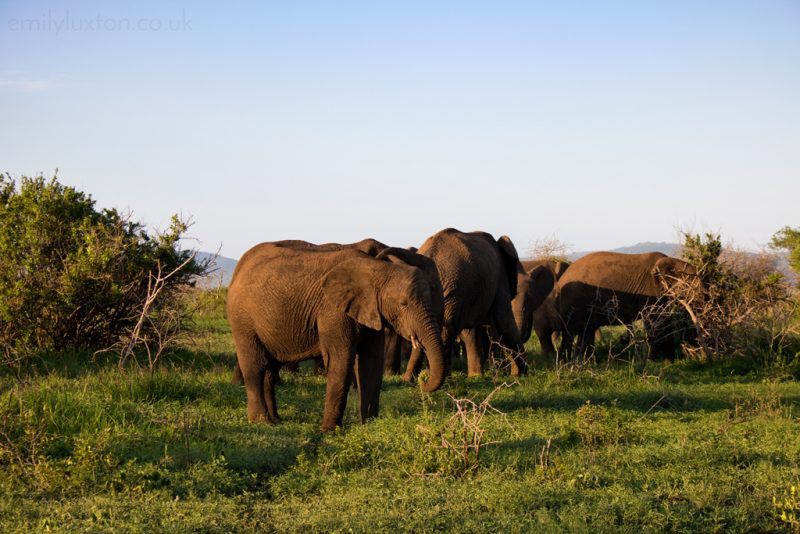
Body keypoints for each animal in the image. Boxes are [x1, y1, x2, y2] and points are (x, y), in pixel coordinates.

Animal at [228, 245, 446, 434]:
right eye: (403, 303)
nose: (422, 381)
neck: (376, 269)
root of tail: (238, 271)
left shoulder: (370, 310)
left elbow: (371, 361)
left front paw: (368, 425)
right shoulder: (333, 310)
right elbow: (340, 360)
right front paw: (330, 431)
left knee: (271, 368)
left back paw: (276, 419)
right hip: (242, 320)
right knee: (256, 366)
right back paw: (261, 421)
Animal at [404, 229, 528, 382]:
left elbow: (470, 331)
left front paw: (476, 376)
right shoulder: (499, 277)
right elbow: (504, 321)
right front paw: (520, 374)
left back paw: (411, 379)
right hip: (452, 287)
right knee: (446, 330)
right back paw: (443, 381)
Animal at [556, 253, 700, 362]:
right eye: (690, 283)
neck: (671, 261)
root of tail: (560, 283)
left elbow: (664, 320)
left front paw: (670, 361)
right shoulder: (650, 289)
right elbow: (653, 320)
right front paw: (654, 362)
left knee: (586, 331)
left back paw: (589, 363)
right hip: (573, 302)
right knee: (570, 332)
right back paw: (566, 364)